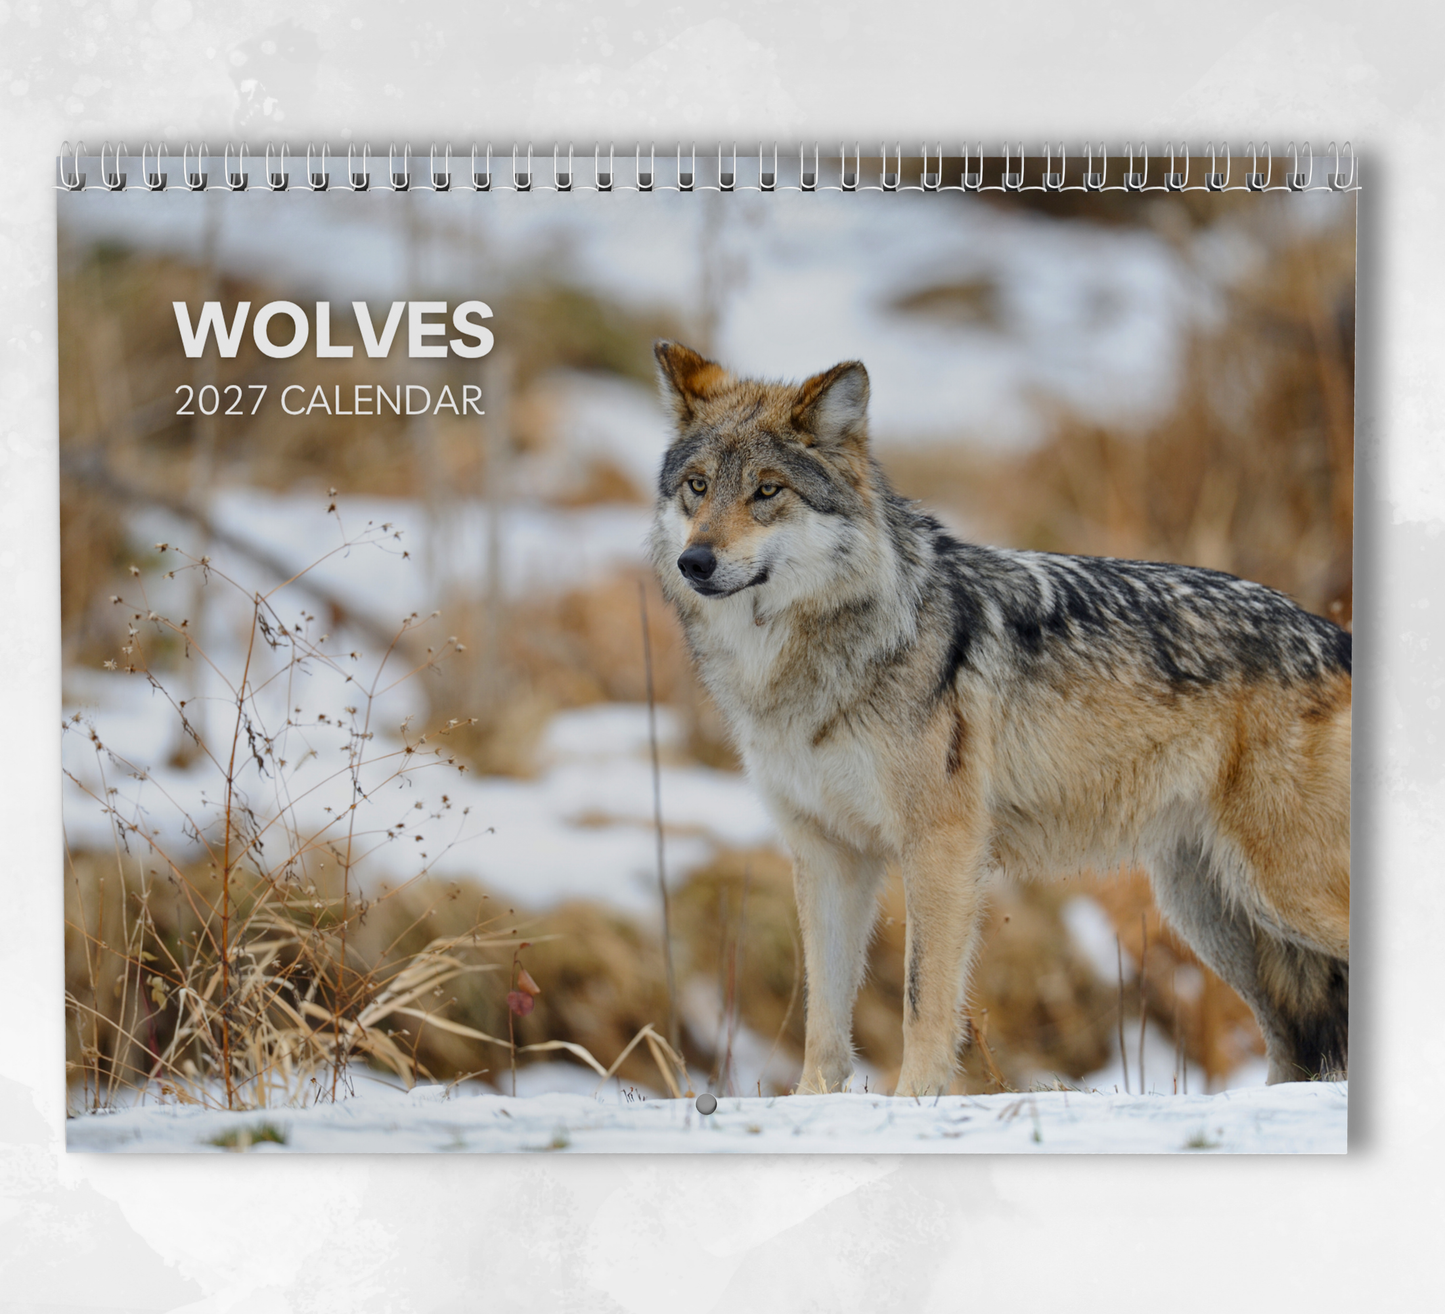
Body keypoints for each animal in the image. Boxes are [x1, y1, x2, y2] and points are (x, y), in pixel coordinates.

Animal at [649, 341, 1351, 1097]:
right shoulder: (826, 852)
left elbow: (922, 996)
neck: (800, 668)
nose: (695, 561)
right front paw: (811, 1103)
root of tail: (1334, 634)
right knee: (1293, 1046)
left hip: (1282, 893)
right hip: (1215, 912)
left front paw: (914, 1099)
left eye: (767, 491)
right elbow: (823, 1013)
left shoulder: (941, 846)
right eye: (696, 487)